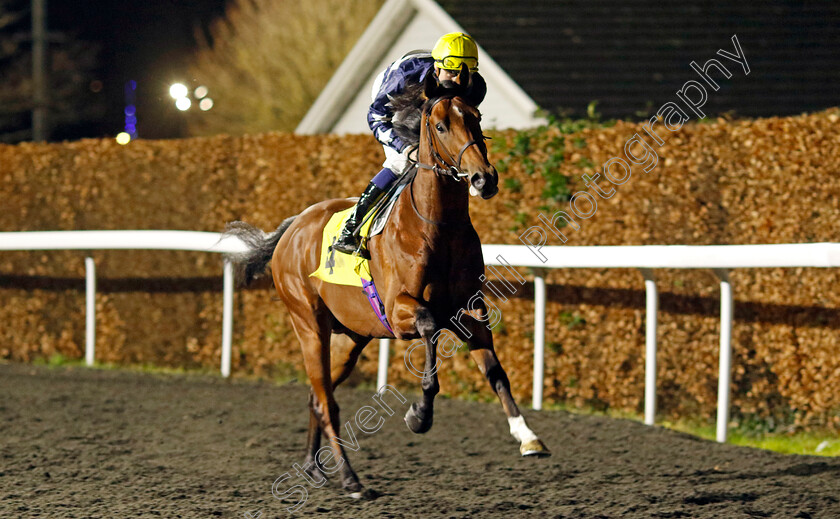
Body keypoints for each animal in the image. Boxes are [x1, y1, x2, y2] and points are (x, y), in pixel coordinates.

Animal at [225, 68, 552, 500]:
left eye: (476, 119)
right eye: (440, 125)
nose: (485, 179)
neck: (437, 227)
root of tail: (292, 227)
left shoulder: (470, 308)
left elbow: (496, 372)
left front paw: (528, 436)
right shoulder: (400, 312)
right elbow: (429, 330)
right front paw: (419, 415)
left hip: (349, 338)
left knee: (317, 394)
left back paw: (314, 467)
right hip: (309, 325)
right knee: (327, 402)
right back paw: (350, 479)